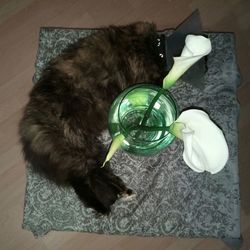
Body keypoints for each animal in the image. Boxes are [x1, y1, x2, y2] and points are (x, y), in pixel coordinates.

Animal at [18, 21, 165, 215]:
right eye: (160, 54)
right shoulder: (142, 70)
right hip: (82, 151)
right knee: (95, 177)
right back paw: (123, 195)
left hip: (83, 154)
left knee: (87, 181)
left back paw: (108, 203)